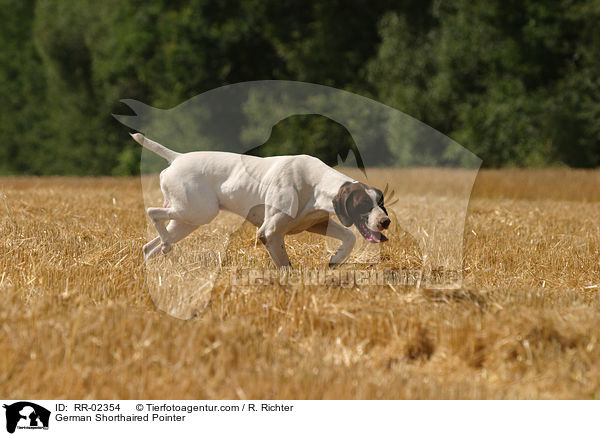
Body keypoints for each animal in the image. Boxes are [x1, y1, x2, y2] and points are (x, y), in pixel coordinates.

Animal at [132, 133, 390, 268]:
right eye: (363, 206)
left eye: (380, 202)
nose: (385, 222)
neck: (315, 183)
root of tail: (177, 157)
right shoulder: (269, 232)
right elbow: (285, 266)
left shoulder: (316, 223)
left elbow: (349, 237)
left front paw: (336, 259)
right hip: (198, 212)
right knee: (152, 212)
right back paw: (165, 244)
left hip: (187, 219)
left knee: (149, 246)